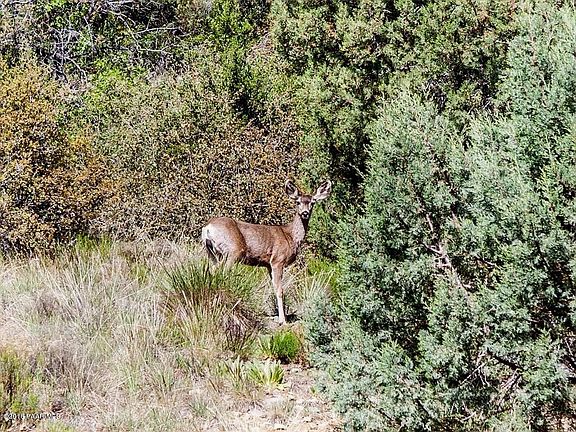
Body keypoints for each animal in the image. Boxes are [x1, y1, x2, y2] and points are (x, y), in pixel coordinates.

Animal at [201, 180, 332, 324]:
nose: (305, 213)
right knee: (223, 274)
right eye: (297, 202)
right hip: (232, 251)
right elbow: (280, 290)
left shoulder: (268, 264)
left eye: (313, 202)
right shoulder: (278, 260)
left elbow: (274, 288)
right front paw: (283, 320)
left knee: (212, 272)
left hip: (212, 254)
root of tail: (207, 228)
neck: (290, 236)